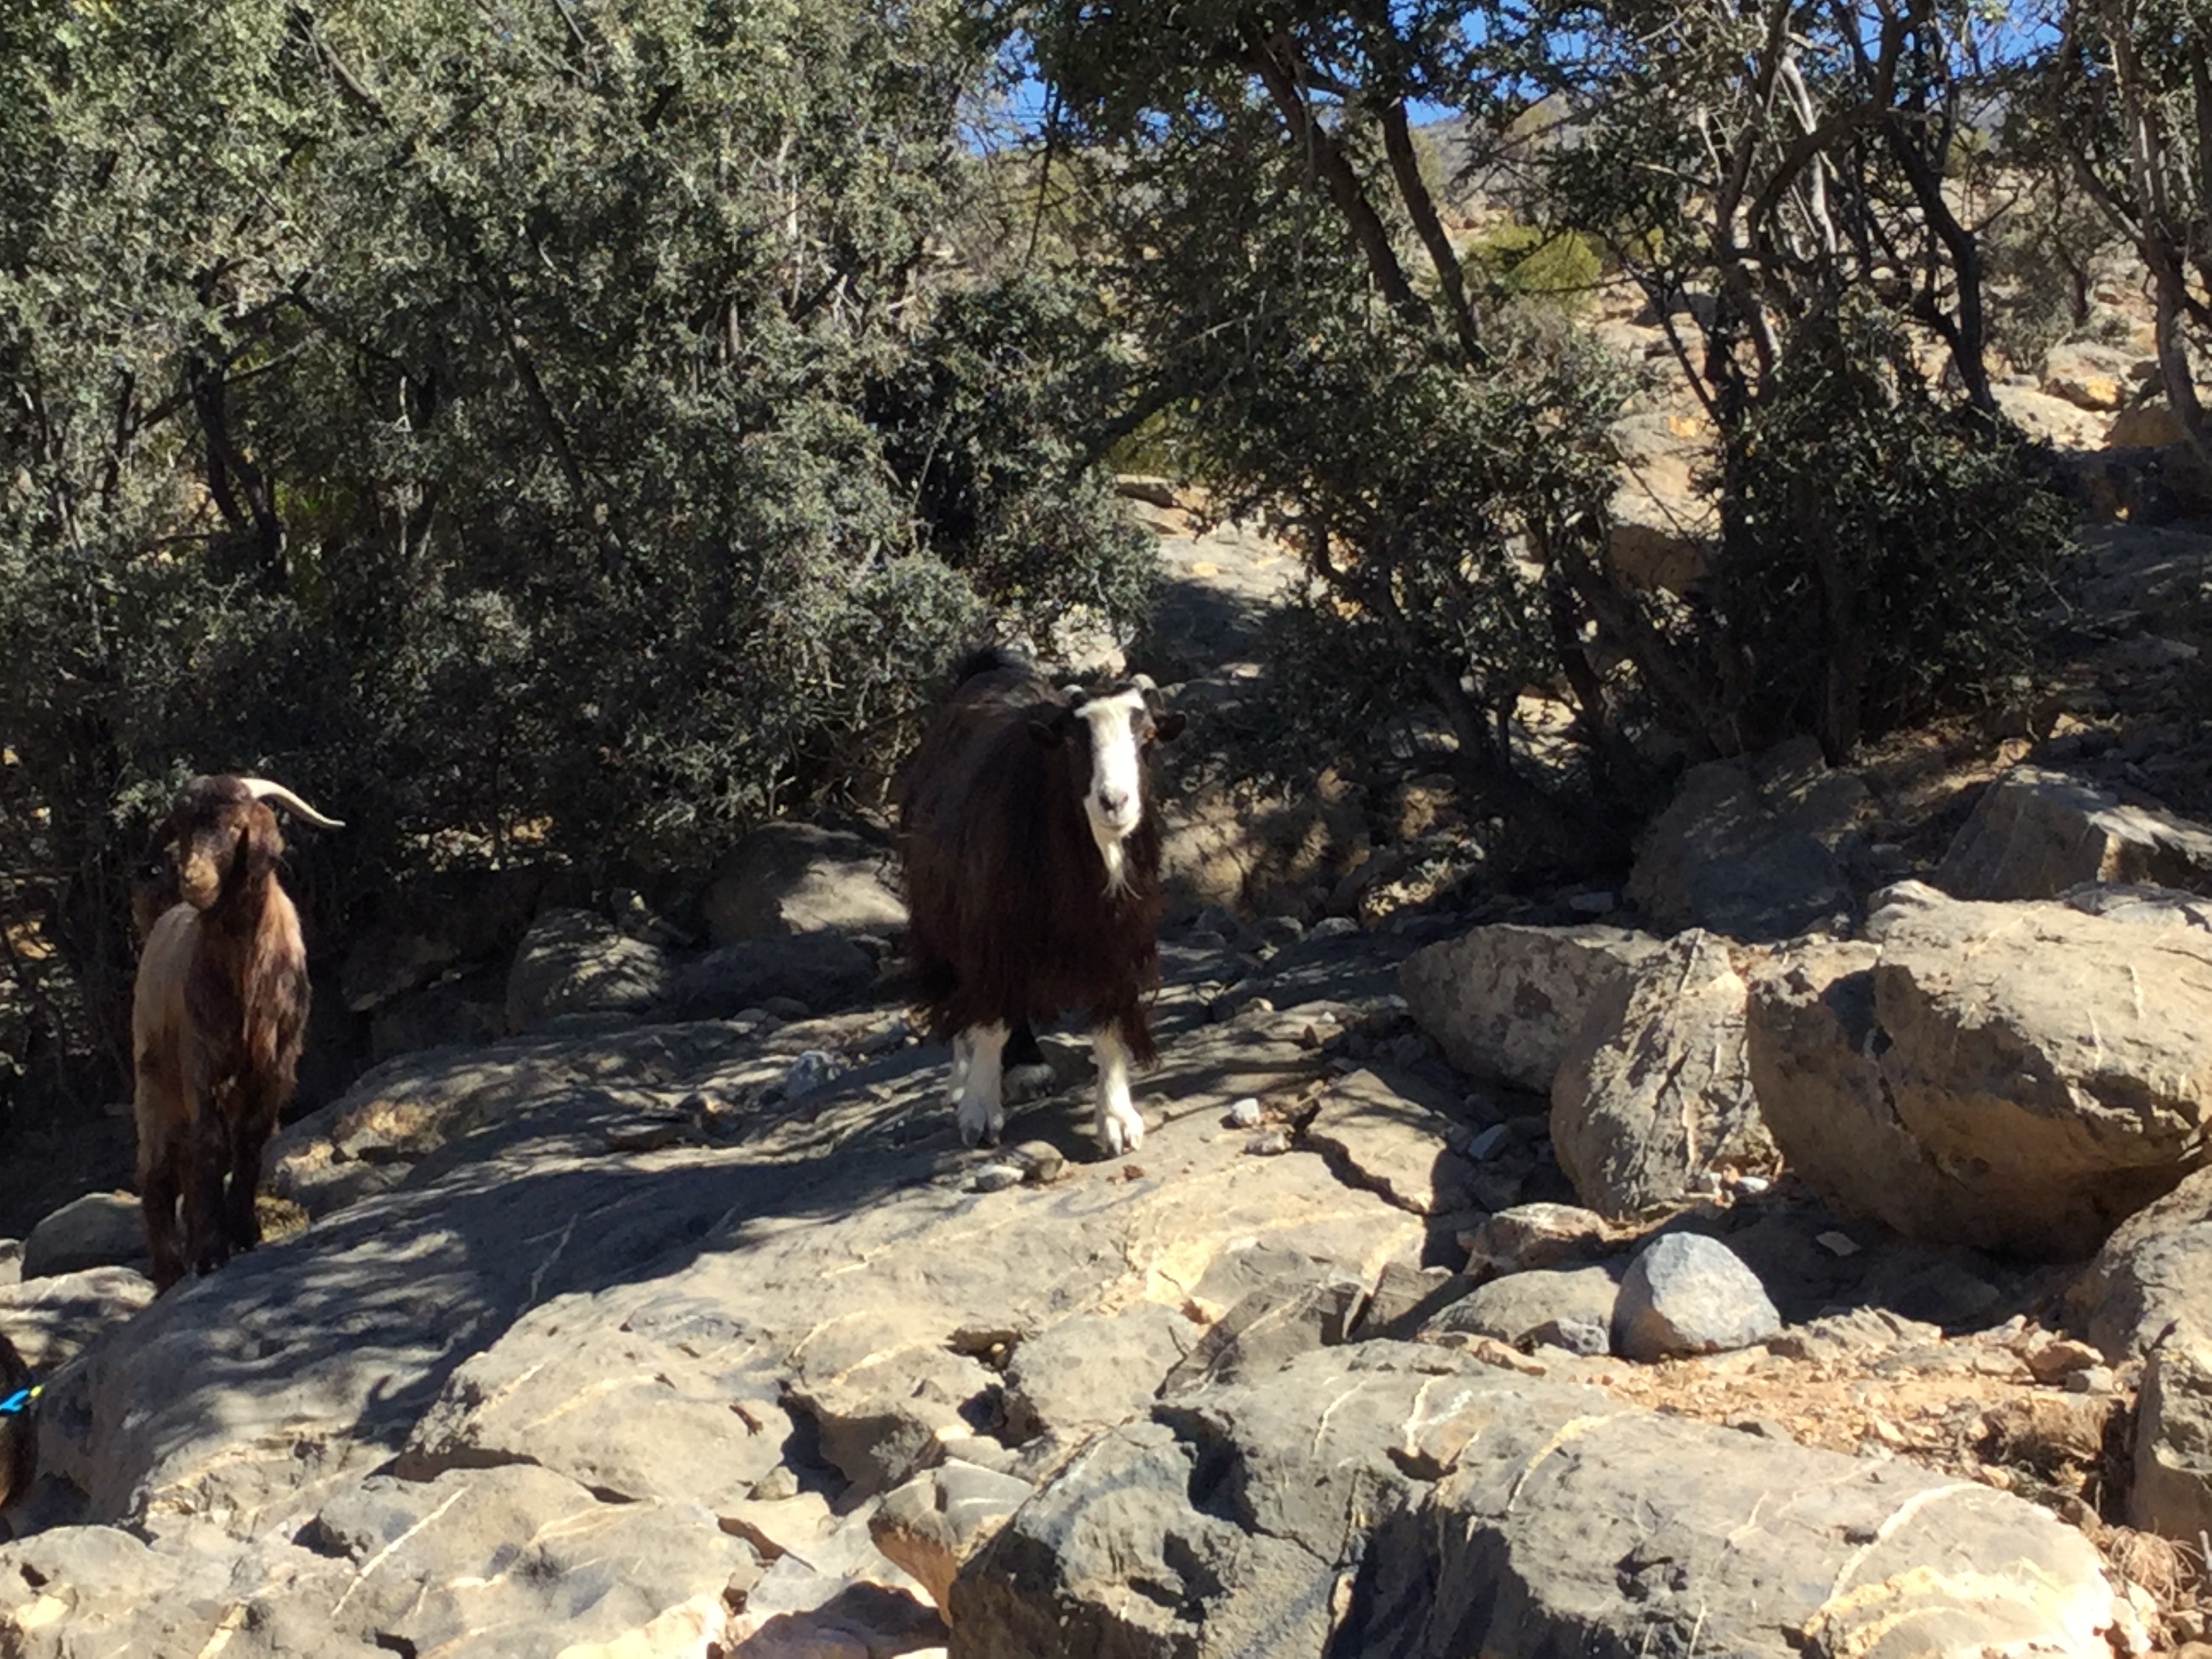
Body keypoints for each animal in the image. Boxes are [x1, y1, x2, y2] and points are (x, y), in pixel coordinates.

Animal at [131, 775, 340, 1291]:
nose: (193, 880)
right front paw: (211, 1251)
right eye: (183, 829)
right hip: (154, 1078)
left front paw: (242, 1231)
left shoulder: (274, 1067)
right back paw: (170, 1271)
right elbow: (209, 1149)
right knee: (158, 1168)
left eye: (233, 826)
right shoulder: (202, 1063)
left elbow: (250, 1141)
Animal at [897, 648, 1185, 1153]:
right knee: (963, 998)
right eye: (1072, 743)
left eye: (1148, 735)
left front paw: (1117, 1121)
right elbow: (989, 1019)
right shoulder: (991, 931)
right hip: (944, 920)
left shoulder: (1117, 939)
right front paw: (979, 1113)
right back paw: (971, 1081)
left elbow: (1110, 1022)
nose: (1115, 802)